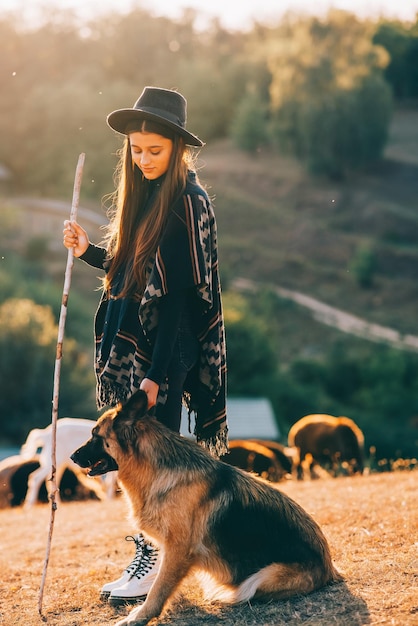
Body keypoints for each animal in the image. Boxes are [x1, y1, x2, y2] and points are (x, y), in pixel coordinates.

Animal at [71, 388, 340, 620]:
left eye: (95, 435)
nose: (72, 457)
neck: (156, 468)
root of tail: (329, 568)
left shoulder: (178, 549)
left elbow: (159, 587)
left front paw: (139, 616)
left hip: (260, 578)